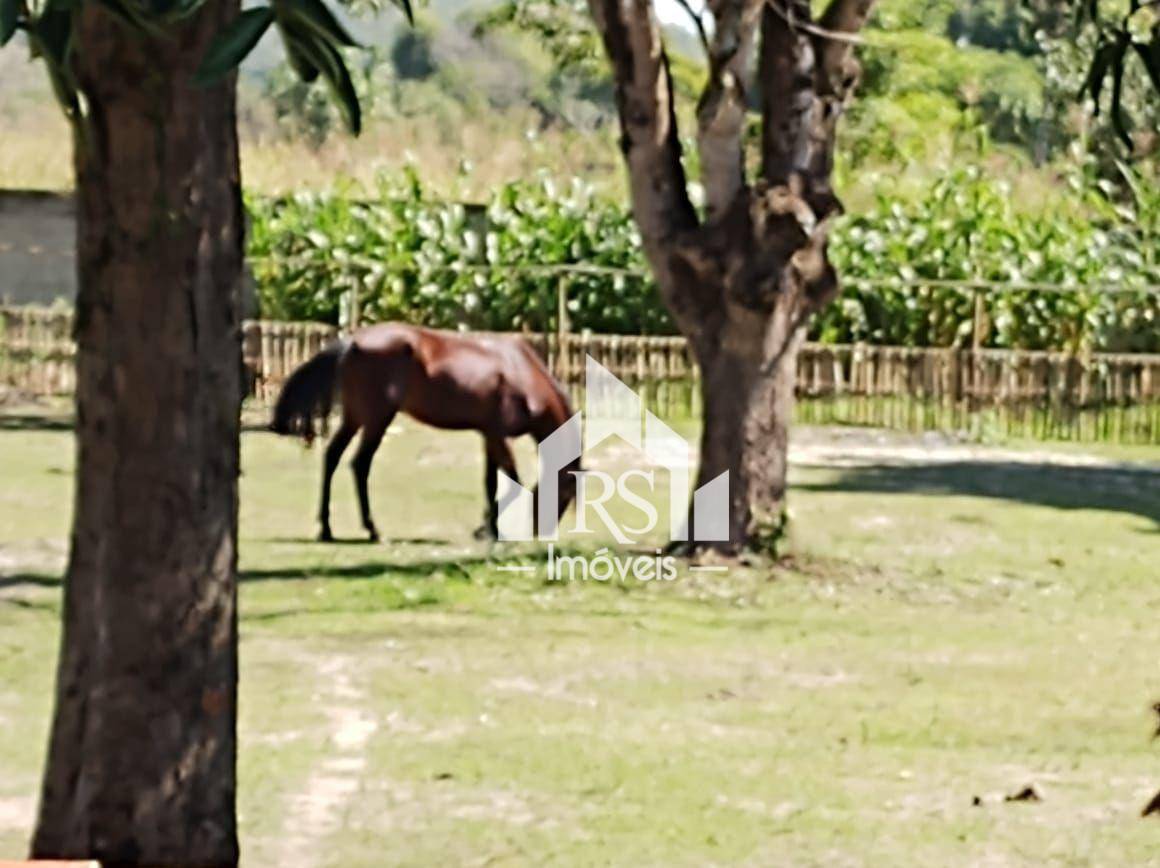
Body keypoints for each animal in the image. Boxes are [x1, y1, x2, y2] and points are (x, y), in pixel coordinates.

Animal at [269, 324, 580, 543]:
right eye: (565, 494)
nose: (541, 531)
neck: (519, 371)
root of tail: (353, 342)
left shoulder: (488, 437)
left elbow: (490, 483)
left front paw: (488, 528)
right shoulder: (497, 436)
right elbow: (512, 481)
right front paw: (487, 529)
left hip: (355, 418)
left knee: (333, 457)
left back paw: (327, 529)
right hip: (376, 419)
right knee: (360, 464)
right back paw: (372, 530)